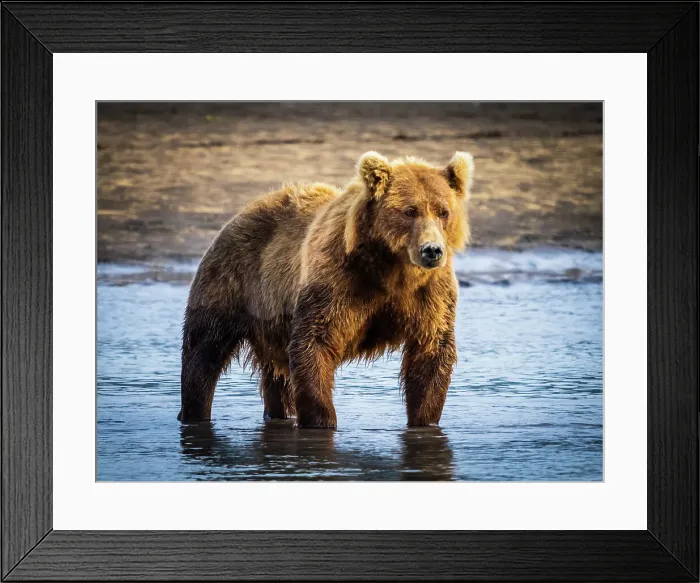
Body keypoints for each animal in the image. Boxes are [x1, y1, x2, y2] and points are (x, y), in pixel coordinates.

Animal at [179, 151, 473, 428]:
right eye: (409, 211)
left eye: (443, 211)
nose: (432, 250)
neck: (391, 269)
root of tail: (245, 209)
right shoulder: (337, 283)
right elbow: (315, 343)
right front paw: (321, 422)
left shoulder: (429, 294)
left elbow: (431, 352)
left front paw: (425, 420)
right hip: (231, 280)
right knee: (203, 352)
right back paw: (194, 413)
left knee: (276, 376)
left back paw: (280, 414)